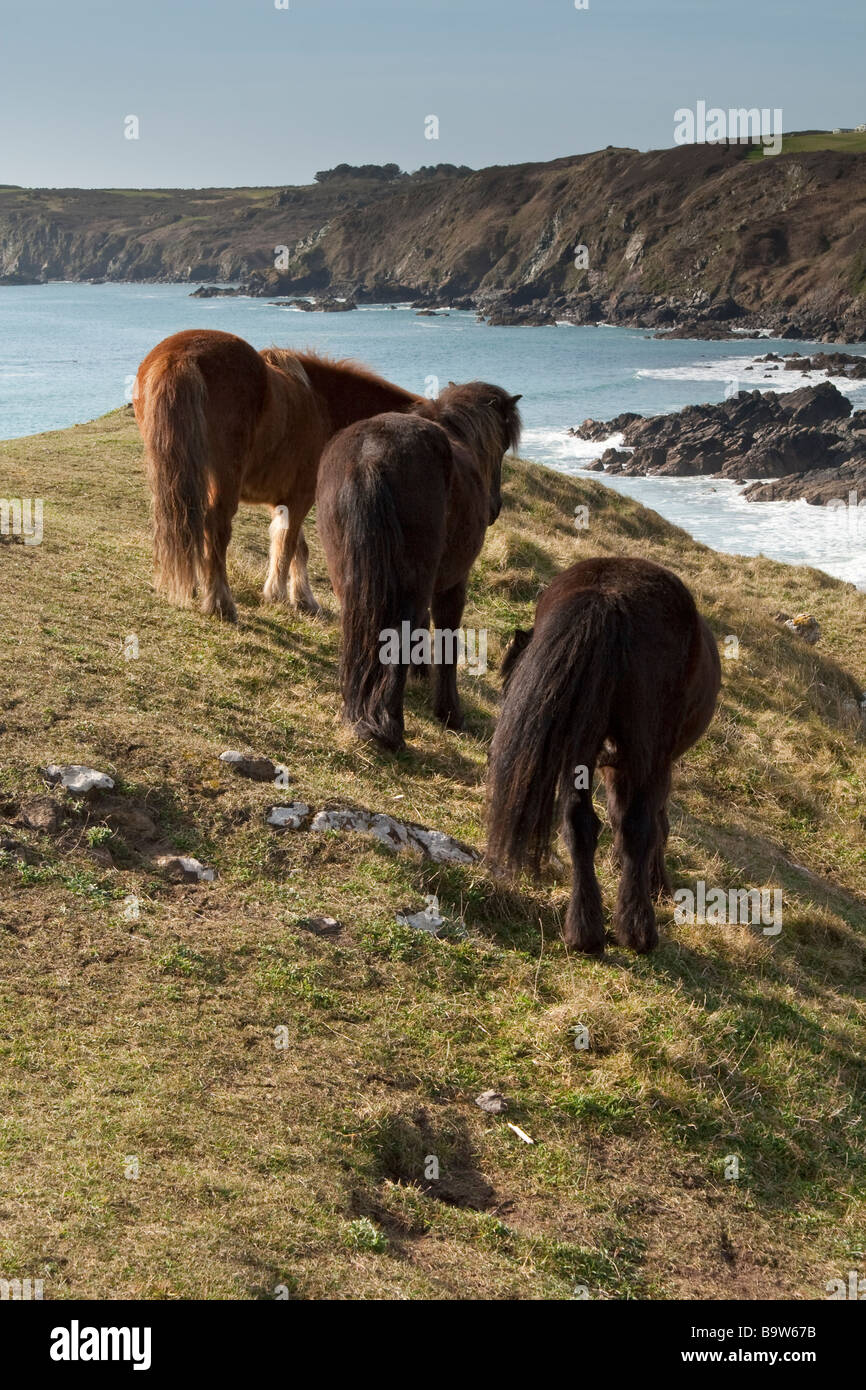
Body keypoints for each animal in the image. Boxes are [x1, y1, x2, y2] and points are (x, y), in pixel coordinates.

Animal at [132, 329, 419, 619]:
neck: (324, 406)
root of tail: (180, 356)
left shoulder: (283, 499)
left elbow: (296, 546)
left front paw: (303, 600)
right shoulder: (300, 496)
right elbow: (287, 542)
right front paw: (278, 594)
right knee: (215, 527)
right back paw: (221, 603)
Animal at [316, 380, 522, 750]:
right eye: (500, 447)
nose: (494, 507)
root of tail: (370, 456)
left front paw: (421, 671)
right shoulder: (454, 583)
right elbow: (447, 638)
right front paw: (449, 712)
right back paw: (391, 728)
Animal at [483, 556, 722, 956]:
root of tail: (607, 597)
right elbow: (651, 824)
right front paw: (654, 883)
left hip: (583, 750)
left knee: (578, 822)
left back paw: (584, 930)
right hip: (645, 755)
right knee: (637, 826)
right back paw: (637, 929)